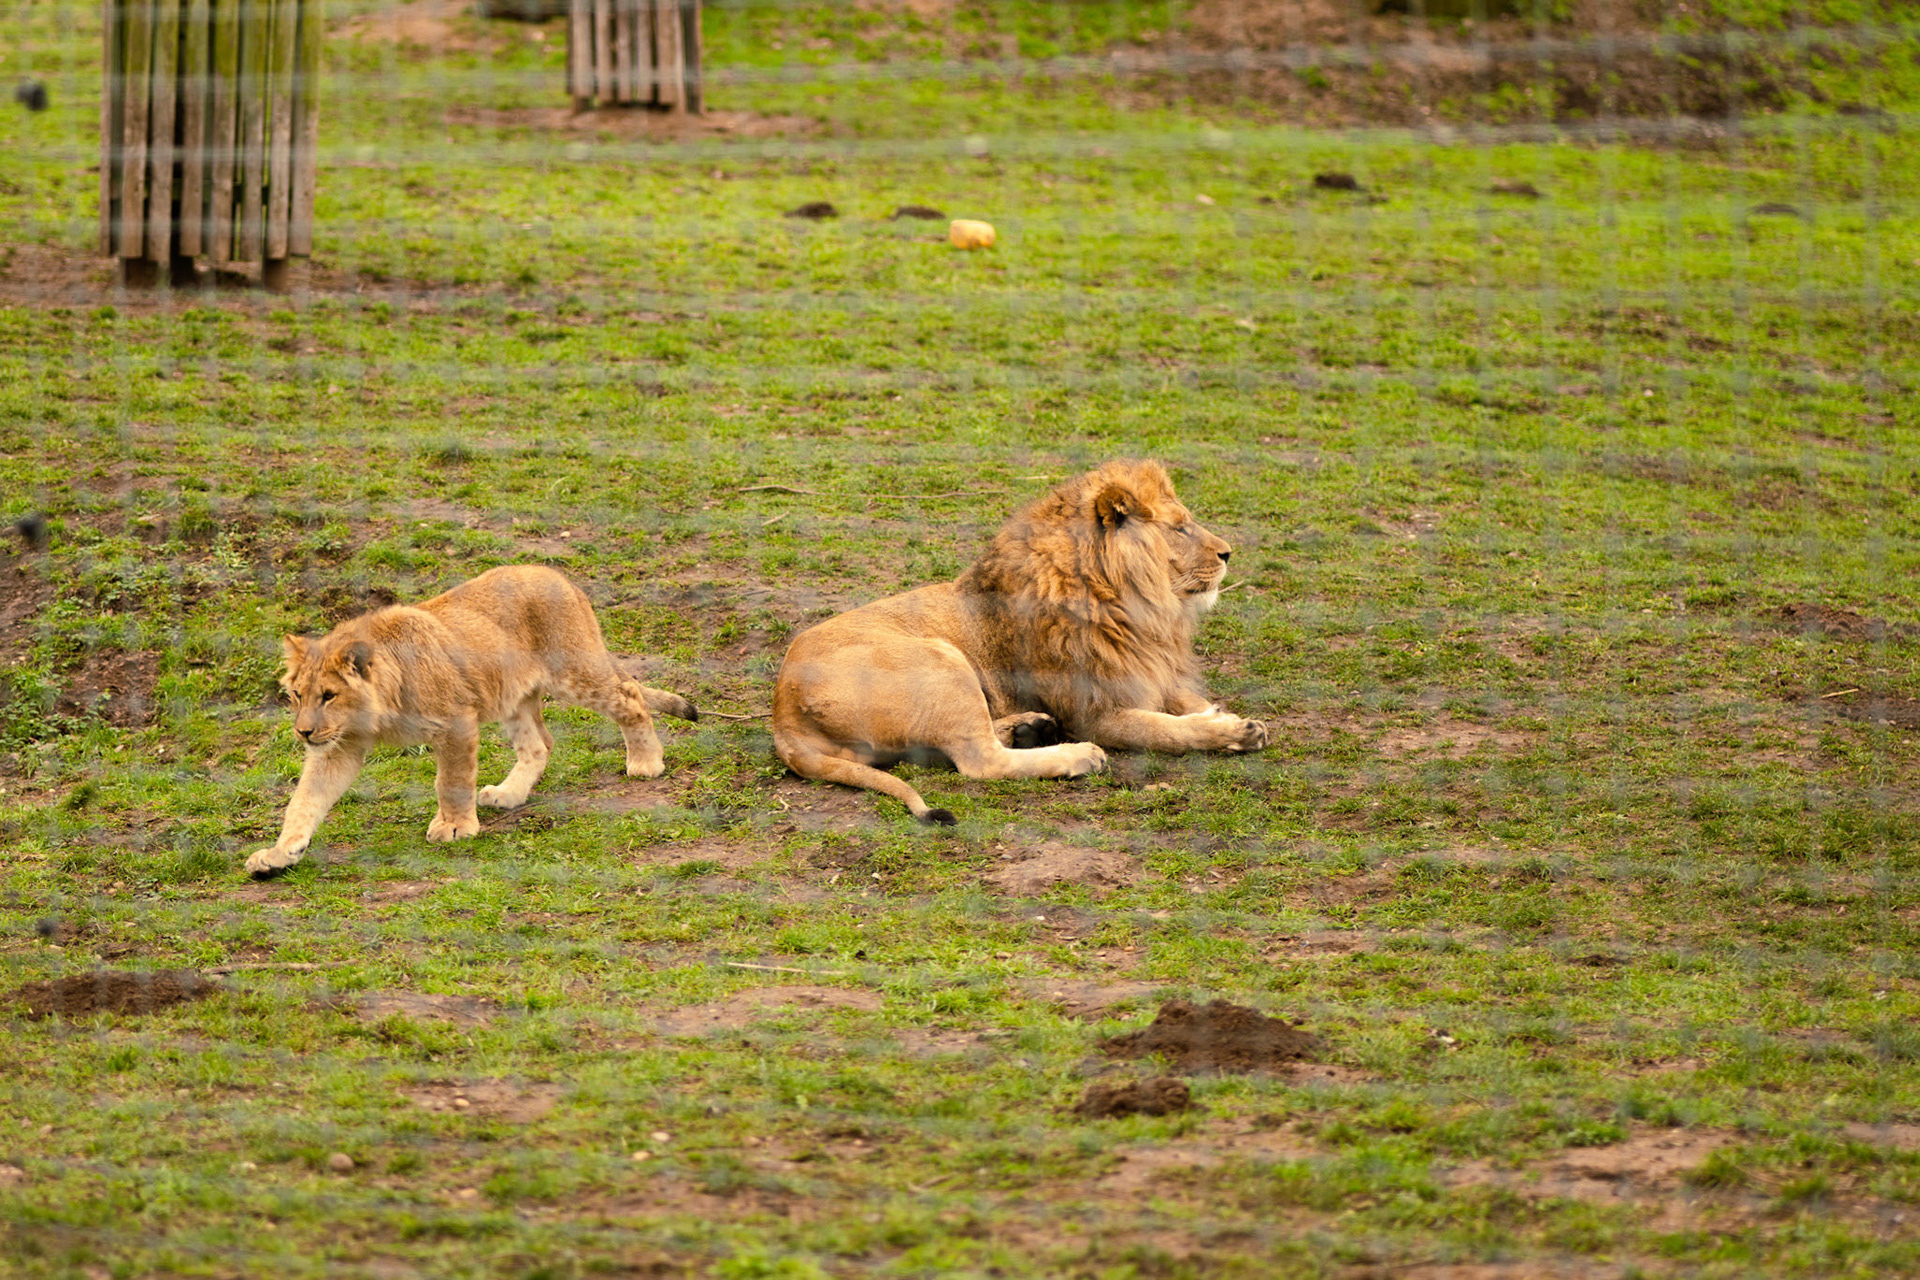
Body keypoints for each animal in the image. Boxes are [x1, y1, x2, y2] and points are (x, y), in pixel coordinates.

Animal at [244, 565, 697, 879]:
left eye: (329, 695)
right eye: (297, 694)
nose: (303, 732)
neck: (378, 706)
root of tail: (560, 576)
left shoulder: (456, 720)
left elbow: (452, 781)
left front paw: (455, 827)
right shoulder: (340, 745)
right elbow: (304, 801)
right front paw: (279, 854)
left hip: (575, 672)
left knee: (631, 696)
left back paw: (645, 762)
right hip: (513, 694)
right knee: (539, 745)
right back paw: (509, 794)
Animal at [771, 459, 1269, 823]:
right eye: (1180, 528)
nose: (1228, 553)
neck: (1130, 606)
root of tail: (783, 714)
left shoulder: (1153, 674)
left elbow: (1188, 703)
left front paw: (1228, 717)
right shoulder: (1093, 712)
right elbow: (1164, 730)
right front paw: (1231, 731)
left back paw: (1029, 728)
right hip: (942, 659)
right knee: (980, 760)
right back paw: (1074, 754)